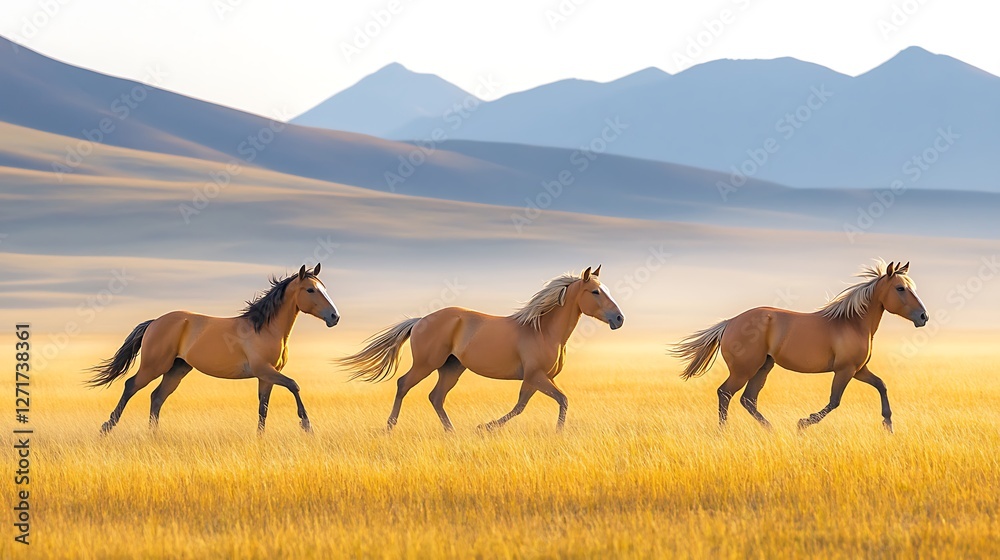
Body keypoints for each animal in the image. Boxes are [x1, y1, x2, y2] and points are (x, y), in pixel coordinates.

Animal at [88, 264, 340, 434]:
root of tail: (154, 322)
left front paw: (260, 438)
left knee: (157, 397)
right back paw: (106, 428)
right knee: (131, 386)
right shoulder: (265, 370)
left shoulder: (266, 377)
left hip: (178, 369)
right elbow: (294, 385)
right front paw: (307, 425)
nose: (334, 317)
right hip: (154, 366)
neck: (264, 329)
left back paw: (153, 435)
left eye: (324, 288)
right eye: (310, 290)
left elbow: (263, 408)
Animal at [338, 266, 624, 432]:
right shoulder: (535, 376)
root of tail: (419, 321)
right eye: (595, 292)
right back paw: (390, 427)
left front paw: (484, 427)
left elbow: (525, 405)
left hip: (452, 368)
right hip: (426, 364)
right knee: (403, 384)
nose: (619, 319)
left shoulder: (538, 379)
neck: (542, 330)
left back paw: (451, 433)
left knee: (436, 397)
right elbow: (554, 401)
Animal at [671, 260, 927, 433]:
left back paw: (771, 430)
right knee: (725, 393)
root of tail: (729, 323)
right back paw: (723, 433)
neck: (851, 322)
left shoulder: (858, 370)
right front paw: (803, 423)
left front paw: (888, 424)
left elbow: (881, 385)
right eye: (900, 288)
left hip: (763, 367)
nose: (923, 317)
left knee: (748, 399)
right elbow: (834, 401)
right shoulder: (845, 370)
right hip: (744, 370)